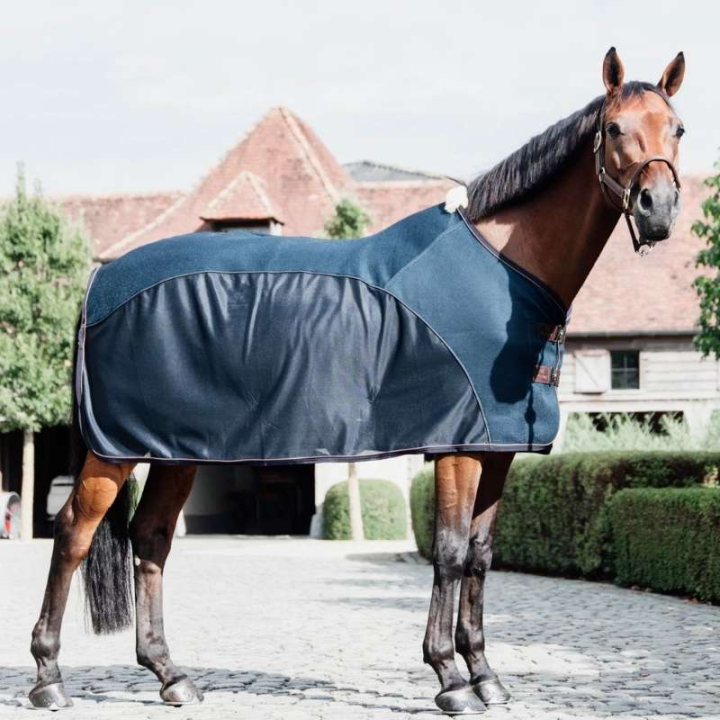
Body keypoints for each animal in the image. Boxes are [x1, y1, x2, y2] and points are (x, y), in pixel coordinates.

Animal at [28, 47, 686, 714]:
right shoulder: (458, 448)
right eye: (614, 128)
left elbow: (479, 557)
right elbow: (449, 552)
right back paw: (49, 678)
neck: (502, 269)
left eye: (678, 129)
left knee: (152, 537)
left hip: (176, 450)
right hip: (116, 452)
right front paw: (450, 678)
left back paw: (171, 676)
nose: (657, 209)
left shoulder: (497, 449)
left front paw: (486, 676)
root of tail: (99, 284)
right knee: (74, 532)